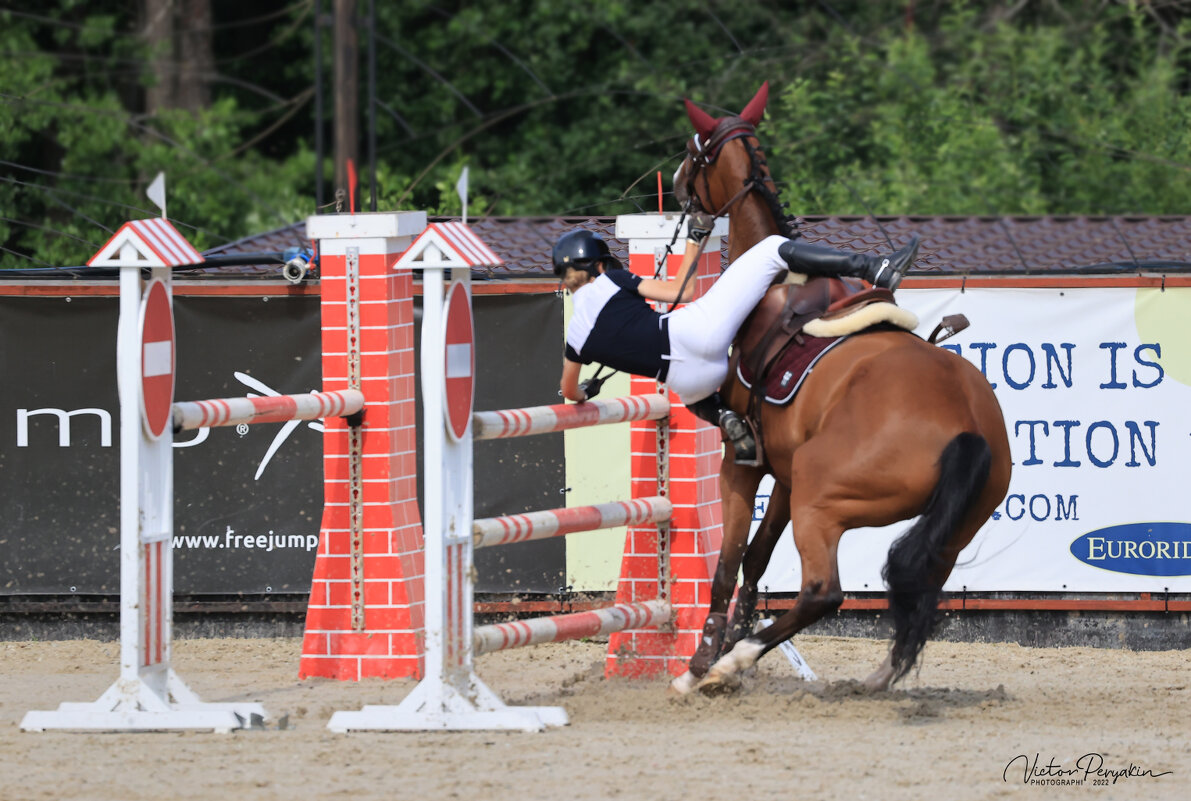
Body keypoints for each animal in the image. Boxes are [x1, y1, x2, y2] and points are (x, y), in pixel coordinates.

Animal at [666, 82, 1009, 695]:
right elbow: (756, 560)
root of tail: (967, 427)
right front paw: (731, 642)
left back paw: (731, 664)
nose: (679, 181)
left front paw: (706, 660)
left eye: (694, 149)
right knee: (917, 594)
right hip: (948, 527)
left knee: (824, 591)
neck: (776, 283)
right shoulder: (782, 473)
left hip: (821, 500)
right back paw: (873, 677)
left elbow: (729, 563)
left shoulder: (745, 461)